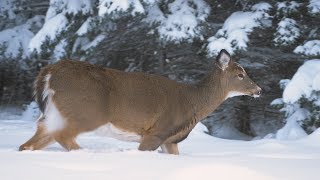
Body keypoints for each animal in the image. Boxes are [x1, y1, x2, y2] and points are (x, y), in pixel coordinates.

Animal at [18, 49, 262, 155]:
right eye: (240, 74)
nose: (259, 90)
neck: (192, 102)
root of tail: (49, 72)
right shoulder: (156, 131)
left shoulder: (170, 140)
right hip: (86, 111)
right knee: (63, 136)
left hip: (55, 113)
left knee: (31, 141)